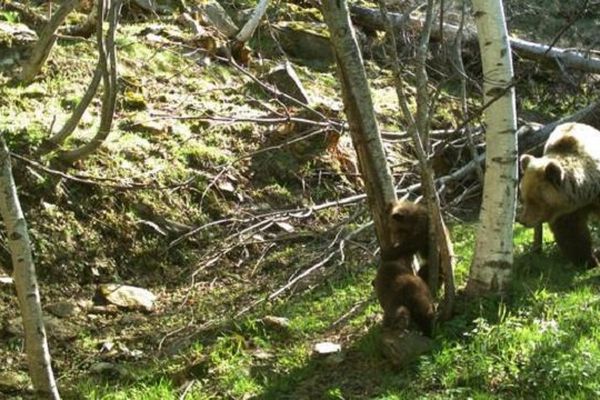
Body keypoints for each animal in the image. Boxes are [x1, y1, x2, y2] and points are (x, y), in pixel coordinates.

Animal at [516, 122, 600, 266]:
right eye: (524, 198)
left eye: (535, 201)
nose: (522, 220)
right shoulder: (567, 210)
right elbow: (571, 232)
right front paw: (587, 260)